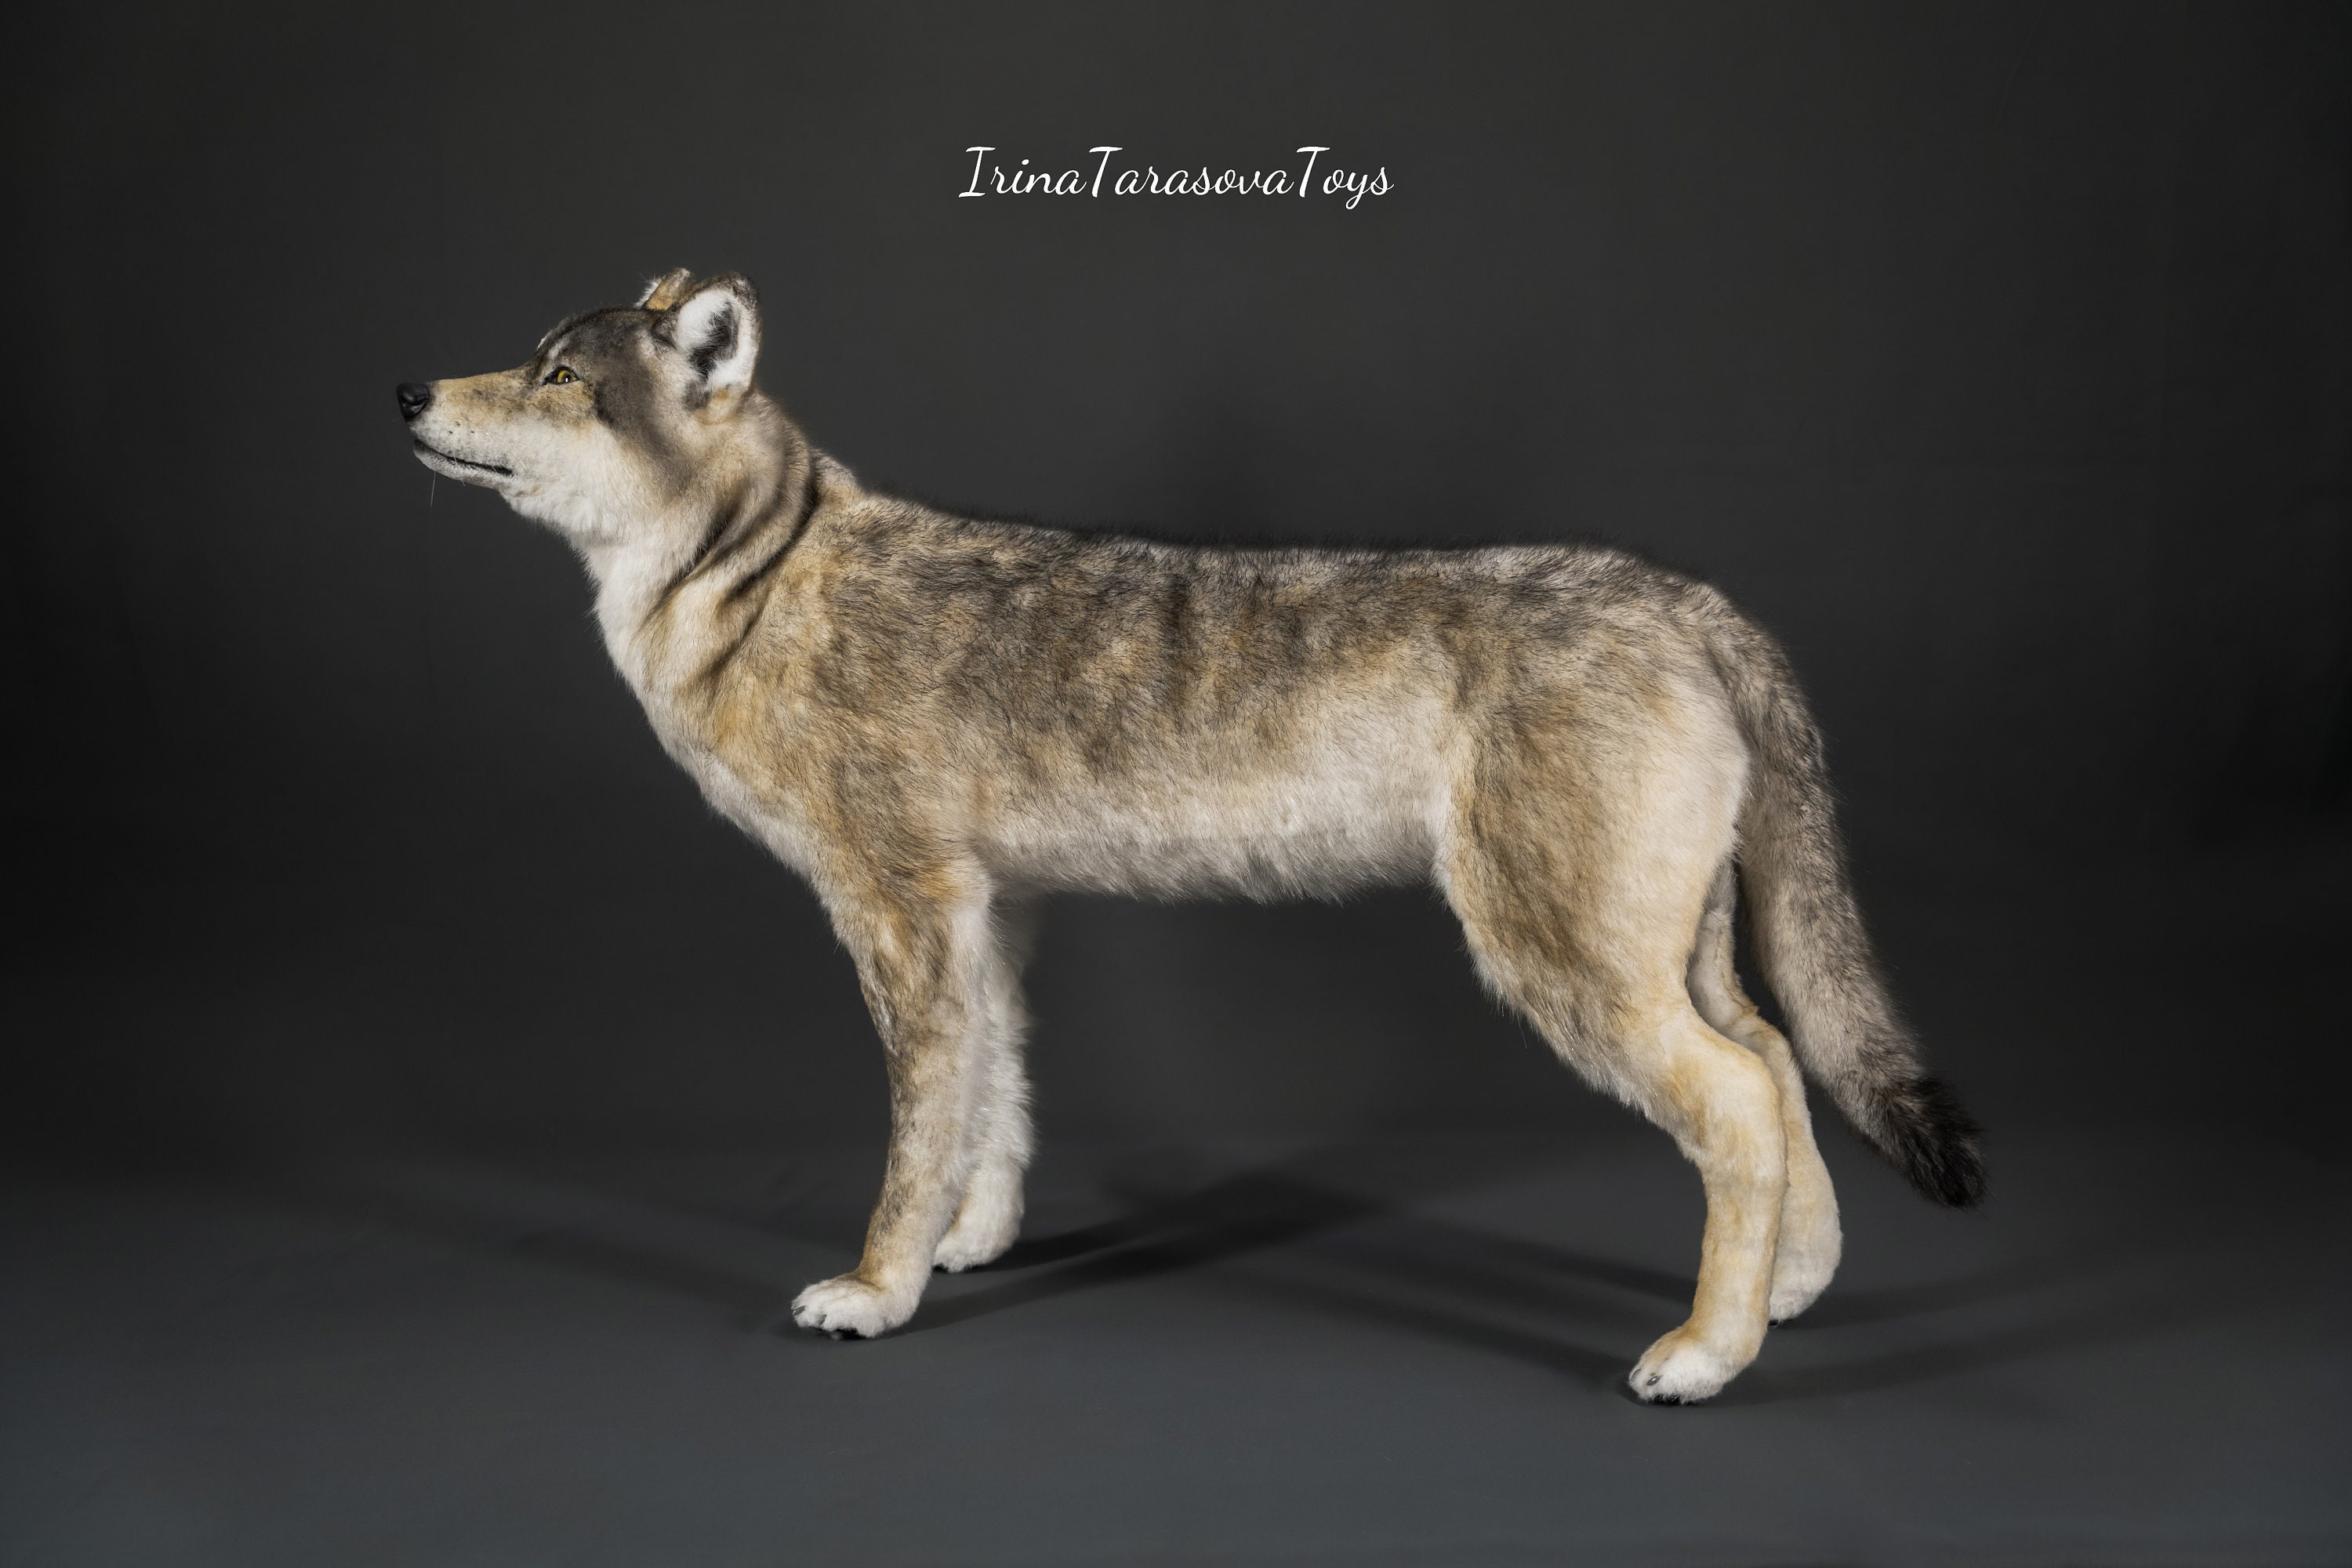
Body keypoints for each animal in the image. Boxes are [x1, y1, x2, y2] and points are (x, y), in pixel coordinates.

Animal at [397, 269, 1983, 1403]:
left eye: (558, 377)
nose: (407, 384)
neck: (759, 580)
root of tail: (1685, 600)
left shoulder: (900, 911)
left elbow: (915, 1138)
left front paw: (877, 1291)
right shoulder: (988, 917)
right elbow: (994, 1110)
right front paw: (975, 1246)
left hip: (1576, 971)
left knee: (1740, 1102)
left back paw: (1707, 1355)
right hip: (1679, 954)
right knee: (1778, 1068)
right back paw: (1786, 1295)